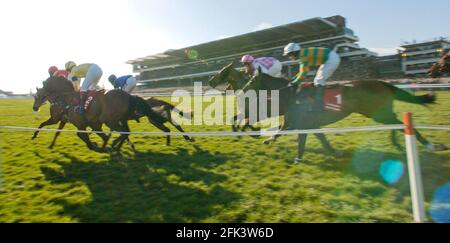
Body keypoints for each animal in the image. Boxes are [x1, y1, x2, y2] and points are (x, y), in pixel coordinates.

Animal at [244, 73, 448, 162]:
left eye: (252, 79)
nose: (244, 88)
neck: (292, 94)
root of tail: (383, 83)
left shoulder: (302, 122)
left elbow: (299, 138)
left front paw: (298, 158)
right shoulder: (304, 122)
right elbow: (315, 136)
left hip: (377, 113)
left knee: (399, 123)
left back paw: (431, 145)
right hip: (380, 113)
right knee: (397, 122)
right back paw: (399, 143)